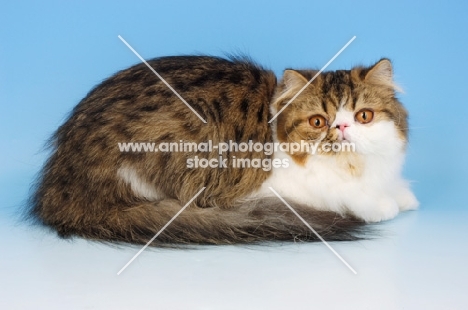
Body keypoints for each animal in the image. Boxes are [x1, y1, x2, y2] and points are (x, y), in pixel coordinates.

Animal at [28, 55, 416, 245]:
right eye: (319, 121)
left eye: (363, 116)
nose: (342, 128)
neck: (354, 167)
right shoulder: (278, 189)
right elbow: (349, 197)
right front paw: (382, 206)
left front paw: (403, 197)